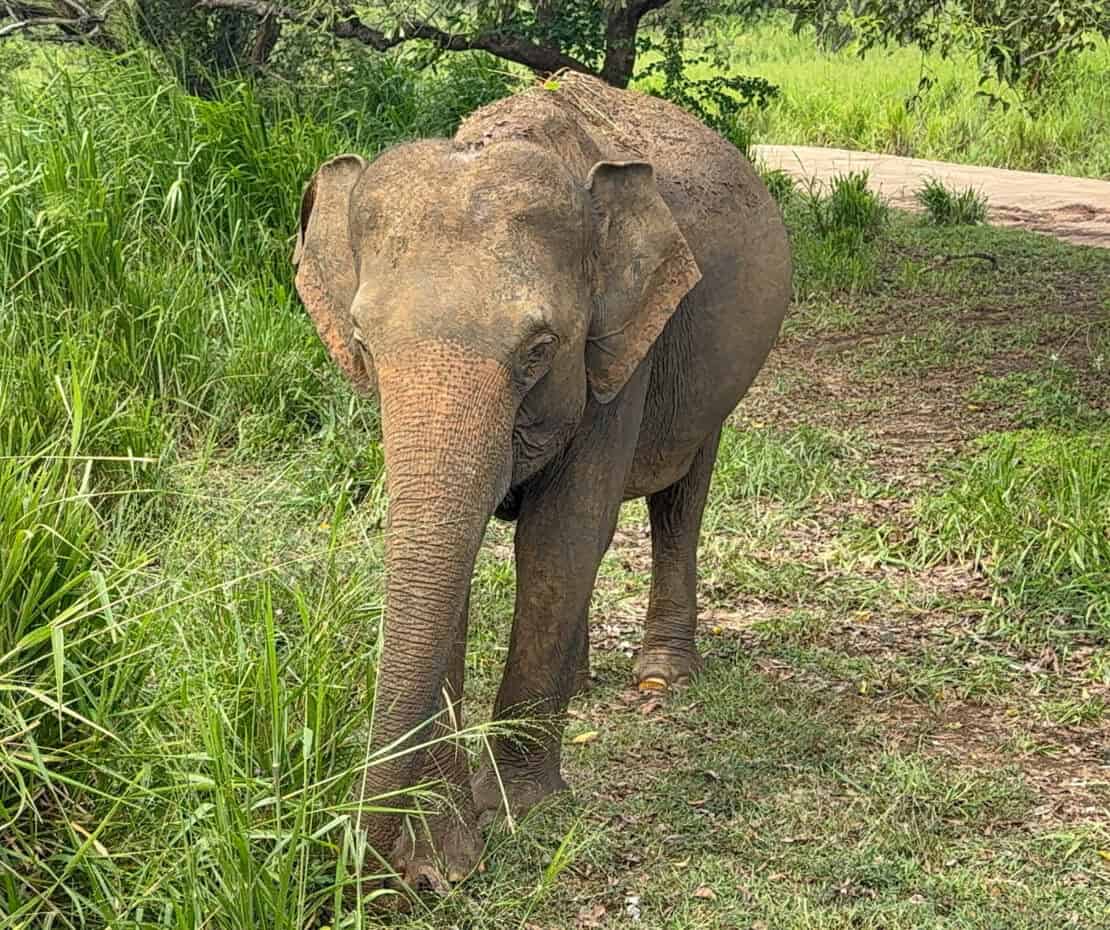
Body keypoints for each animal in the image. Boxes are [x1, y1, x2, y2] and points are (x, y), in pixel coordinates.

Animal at [293, 72, 791, 891]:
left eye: (540, 349)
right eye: (363, 344)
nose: (370, 874)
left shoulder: (619, 352)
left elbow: (559, 540)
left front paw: (517, 813)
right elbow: (451, 558)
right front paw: (442, 852)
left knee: (680, 495)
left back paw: (662, 678)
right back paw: (580, 684)